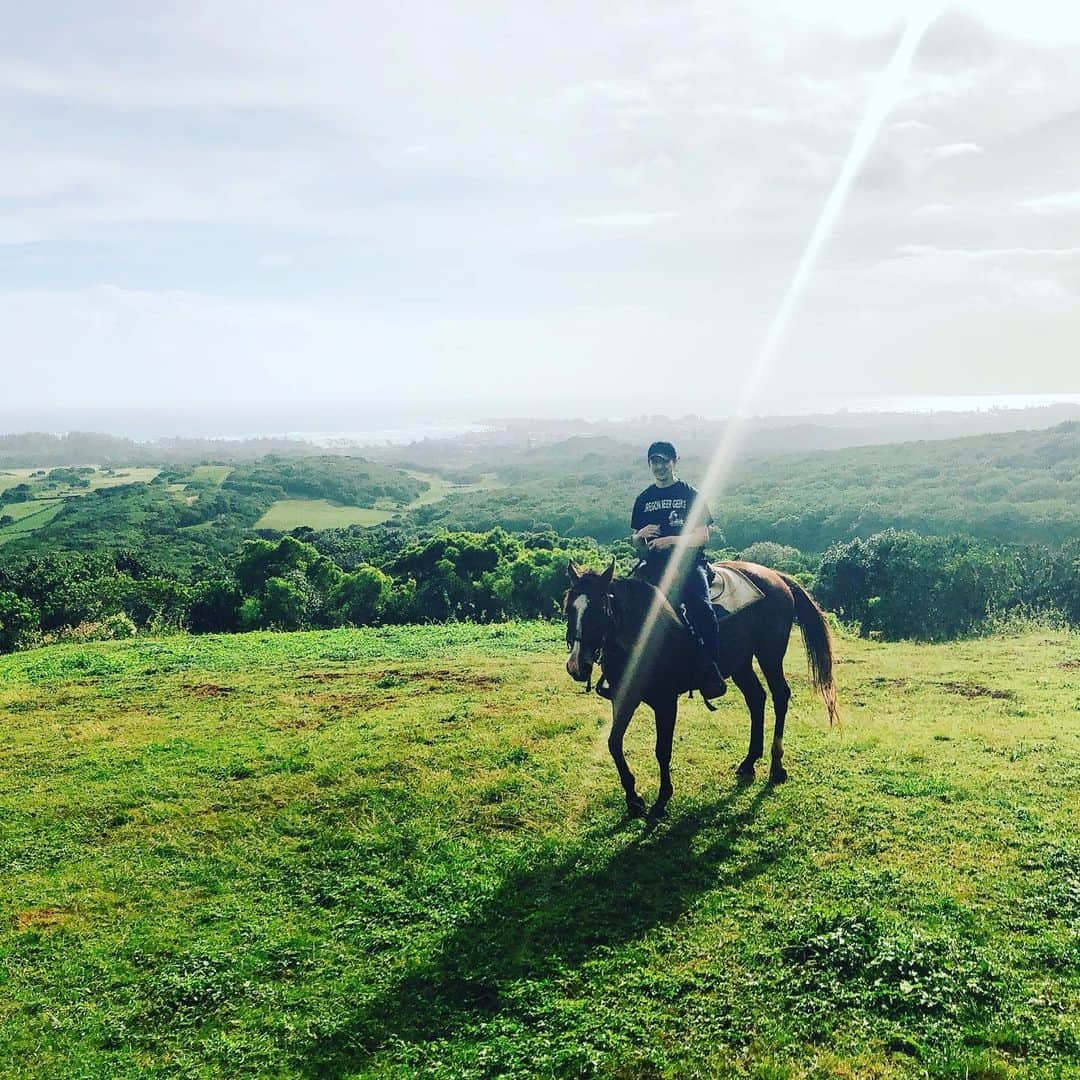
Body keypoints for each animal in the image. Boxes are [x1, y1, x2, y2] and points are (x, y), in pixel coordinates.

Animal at [570, 565, 838, 816]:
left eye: (599, 611)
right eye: (569, 609)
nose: (576, 666)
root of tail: (776, 576)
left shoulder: (666, 701)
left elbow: (662, 750)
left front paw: (662, 800)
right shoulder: (623, 698)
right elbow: (614, 743)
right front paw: (633, 799)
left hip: (769, 655)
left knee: (780, 696)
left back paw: (776, 766)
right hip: (741, 663)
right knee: (756, 698)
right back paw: (749, 761)